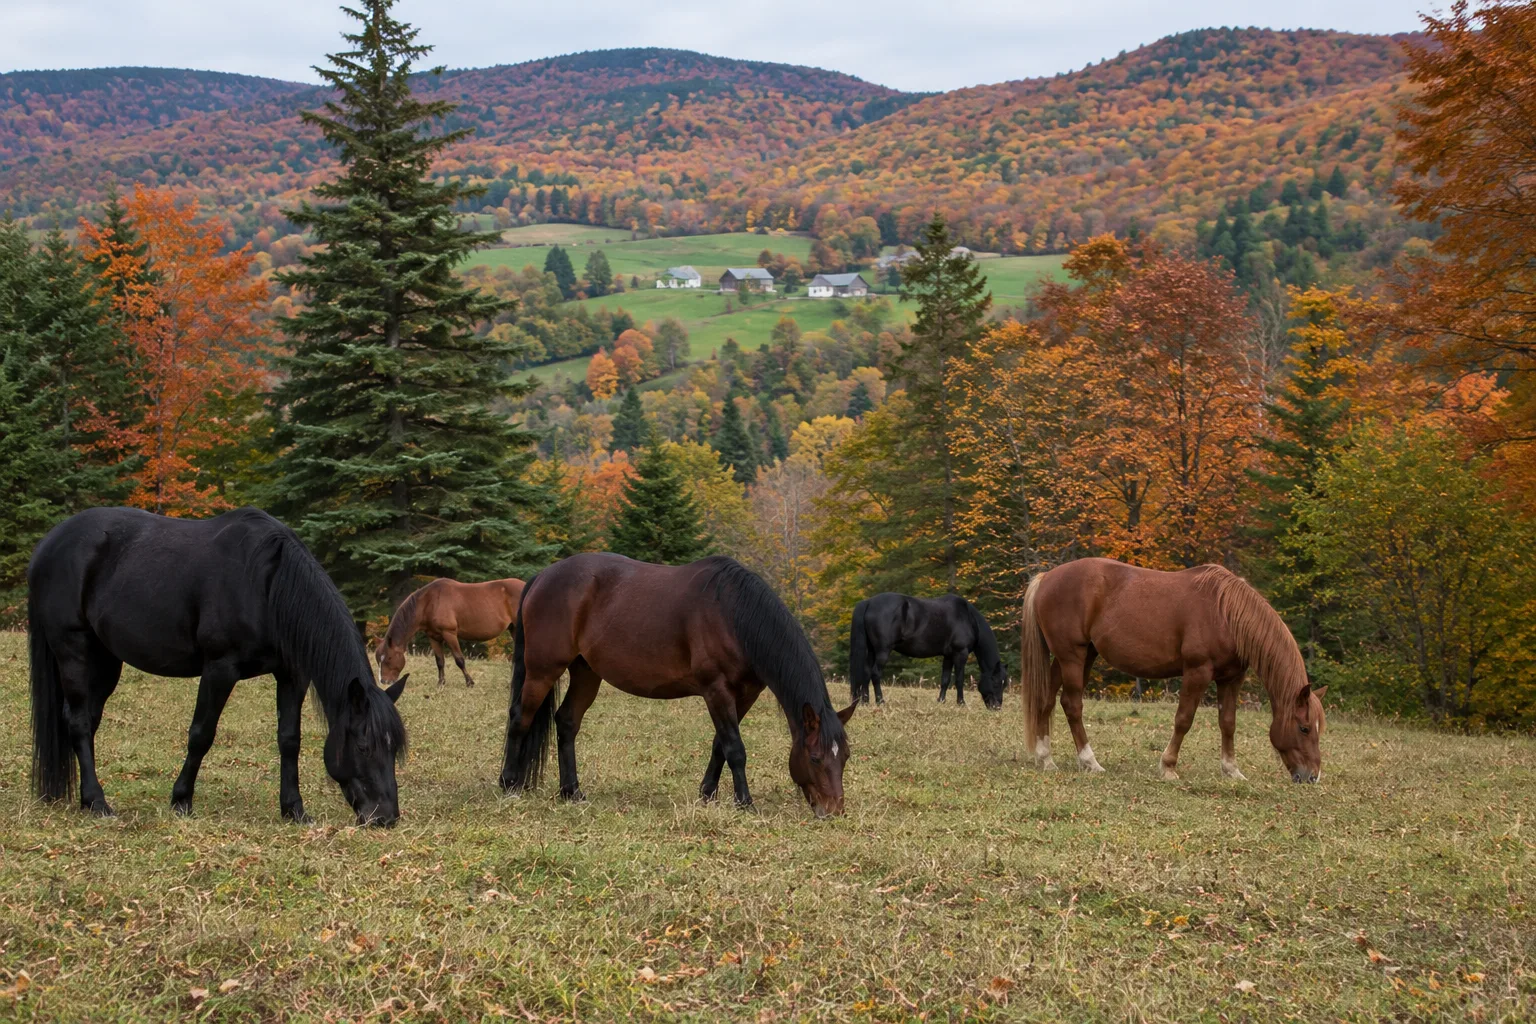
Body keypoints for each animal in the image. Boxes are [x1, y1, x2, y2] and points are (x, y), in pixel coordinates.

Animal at [27, 506, 408, 825]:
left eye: (394, 749)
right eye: (364, 746)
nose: (385, 817)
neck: (268, 585)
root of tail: (49, 542)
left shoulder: (292, 675)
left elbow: (289, 740)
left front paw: (294, 810)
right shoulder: (220, 669)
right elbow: (201, 735)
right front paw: (181, 801)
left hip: (105, 660)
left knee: (87, 721)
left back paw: (84, 799)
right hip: (73, 650)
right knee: (78, 723)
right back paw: (98, 803)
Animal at [375, 577, 525, 688]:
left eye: (388, 658)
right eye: (378, 660)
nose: (384, 681)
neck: (430, 601)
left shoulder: (449, 633)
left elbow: (459, 660)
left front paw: (470, 682)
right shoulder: (434, 637)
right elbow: (439, 661)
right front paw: (440, 683)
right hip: (514, 629)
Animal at [498, 553, 856, 817]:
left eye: (846, 757)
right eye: (814, 758)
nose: (834, 811)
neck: (734, 615)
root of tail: (542, 577)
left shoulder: (745, 694)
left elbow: (719, 745)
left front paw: (708, 795)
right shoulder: (716, 691)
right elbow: (735, 748)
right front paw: (744, 803)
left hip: (586, 673)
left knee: (567, 722)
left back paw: (571, 791)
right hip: (543, 670)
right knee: (520, 719)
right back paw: (509, 785)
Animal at [848, 593, 1007, 709]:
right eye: (996, 682)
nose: (997, 707)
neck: (968, 618)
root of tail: (869, 602)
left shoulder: (948, 656)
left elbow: (945, 680)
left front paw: (941, 701)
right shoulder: (960, 653)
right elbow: (959, 679)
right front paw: (961, 703)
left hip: (872, 650)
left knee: (866, 672)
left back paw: (864, 701)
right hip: (883, 651)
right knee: (875, 674)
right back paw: (880, 701)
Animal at [1019, 558, 1326, 782]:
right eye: (1304, 728)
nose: (1312, 776)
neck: (1226, 614)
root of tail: (1047, 577)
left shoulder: (1231, 678)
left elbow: (1228, 723)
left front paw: (1231, 770)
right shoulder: (1197, 672)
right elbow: (1184, 720)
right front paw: (1168, 767)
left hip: (1080, 656)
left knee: (1047, 700)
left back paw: (1046, 759)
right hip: (1072, 655)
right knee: (1072, 705)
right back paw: (1090, 762)